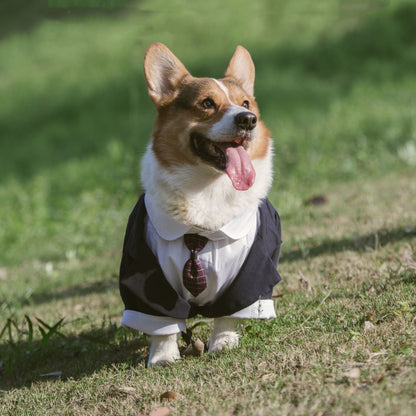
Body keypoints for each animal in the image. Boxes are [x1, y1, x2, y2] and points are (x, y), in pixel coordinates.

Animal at [120, 43, 282, 368]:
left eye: (246, 103)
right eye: (207, 103)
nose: (248, 119)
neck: (207, 188)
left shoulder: (253, 269)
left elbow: (229, 313)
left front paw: (223, 343)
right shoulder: (145, 272)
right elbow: (161, 323)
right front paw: (163, 357)